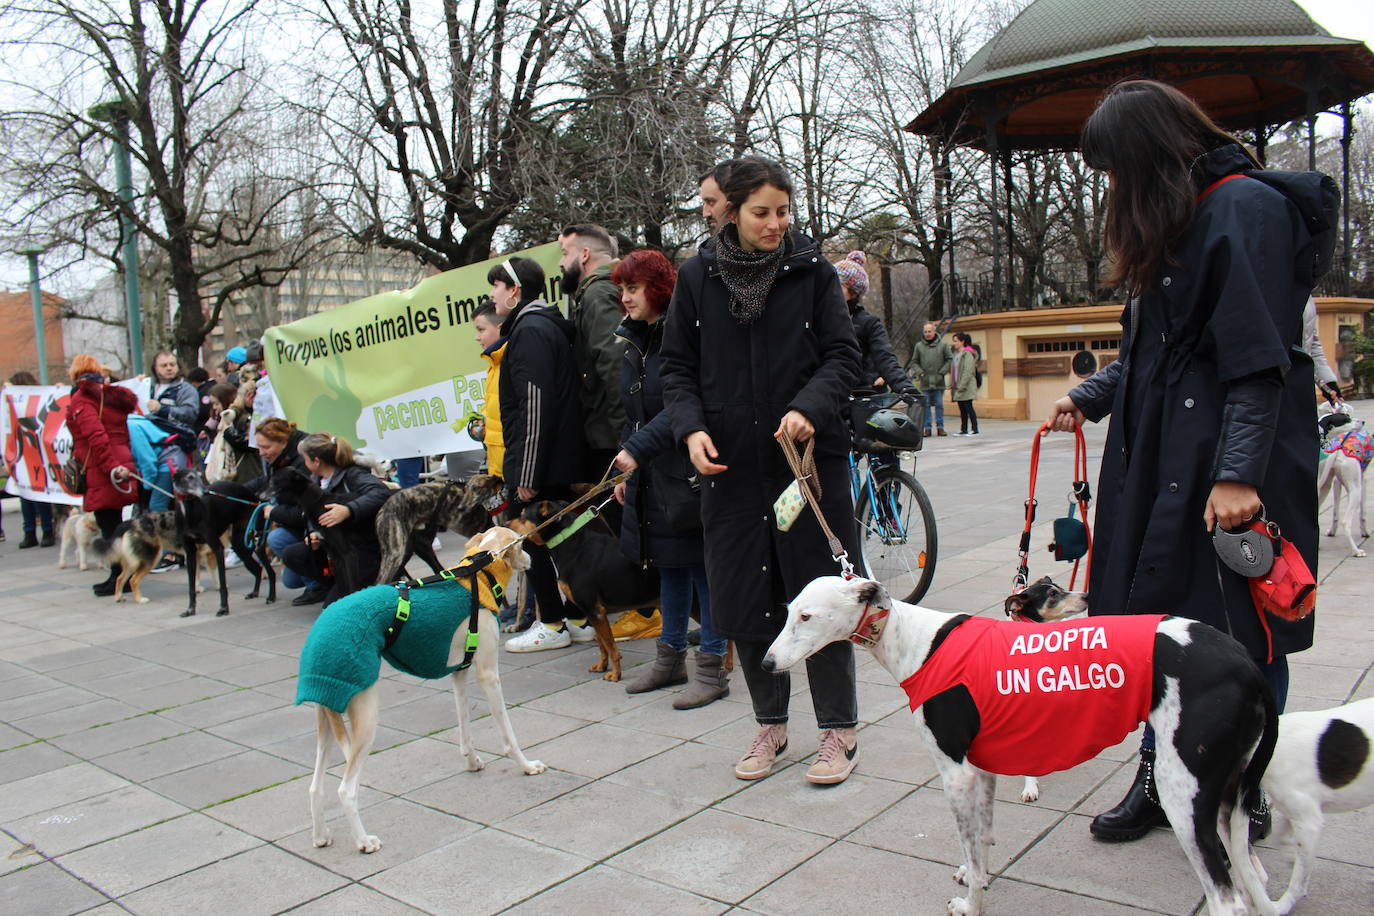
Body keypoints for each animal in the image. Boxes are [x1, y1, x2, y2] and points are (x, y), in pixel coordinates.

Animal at [769, 579, 1280, 916]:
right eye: (788, 610)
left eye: (806, 616)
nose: (767, 663)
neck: (917, 640)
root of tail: (1247, 665)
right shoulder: (982, 766)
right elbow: (981, 838)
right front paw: (974, 874)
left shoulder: (955, 774)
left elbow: (972, 845)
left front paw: (971, 903)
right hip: (1225, 800)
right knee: (1249, 871)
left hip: (1183, 797)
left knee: (1228, 899)